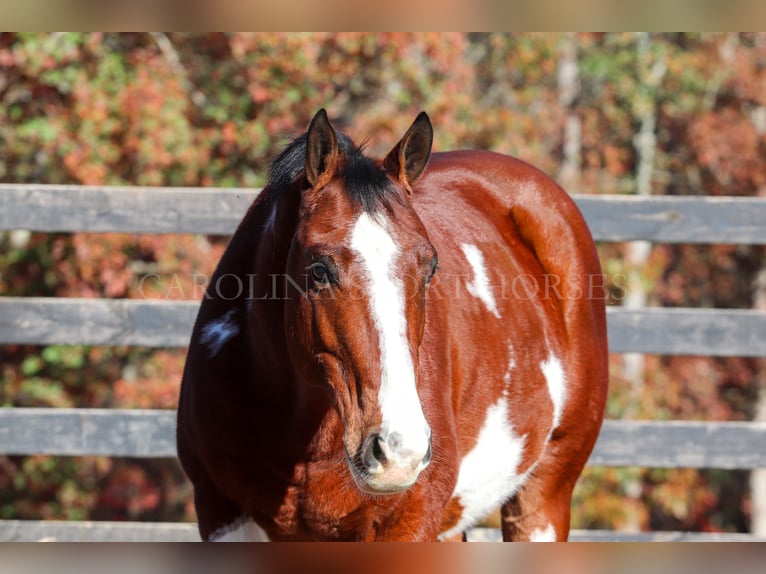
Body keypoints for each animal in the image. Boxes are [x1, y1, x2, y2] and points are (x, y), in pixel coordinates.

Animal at [177, 109, 608, 544]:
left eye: (430, 267)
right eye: (319, 269)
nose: (400, 449)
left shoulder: (407, 524)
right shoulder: (221, 515)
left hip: (544, 497)